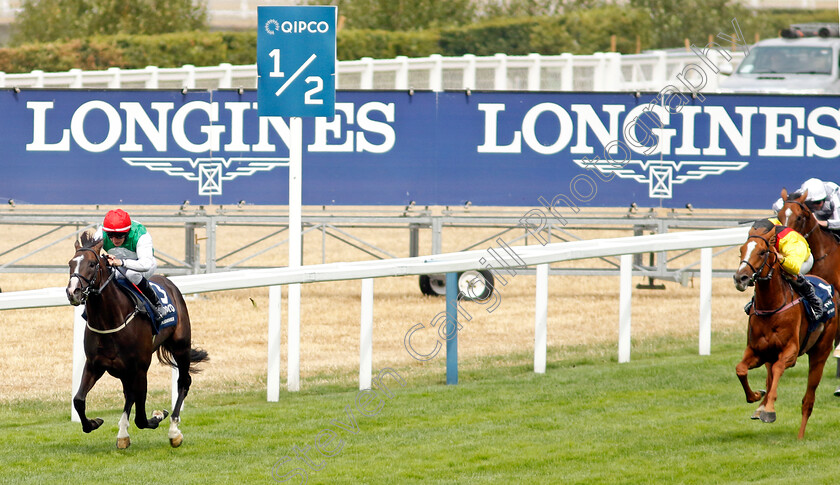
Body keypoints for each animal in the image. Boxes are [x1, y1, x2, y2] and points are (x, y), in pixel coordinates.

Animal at [66, 229, 208, 448]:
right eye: (70, 264)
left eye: (91, 264)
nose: (73, 292)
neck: (110, 320)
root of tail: (169, 282)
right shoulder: (95, 364)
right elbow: (79, 400)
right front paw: (93, 423)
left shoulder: (141, 368)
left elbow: (141, 418)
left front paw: (158, 416)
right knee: (129, 394)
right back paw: (123, 434)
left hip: (181, 347)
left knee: (183, 382)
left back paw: (174, 431)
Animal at [732, 222, 836, 438]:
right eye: (741, 250)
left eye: (762, 252)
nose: (740, 278)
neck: (771, 306)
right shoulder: (757, 351)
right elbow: (741, 369)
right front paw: (757, 397)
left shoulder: (791, 351)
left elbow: (779, 368)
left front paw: (769, 411)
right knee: (770, 376)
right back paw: (760, 407)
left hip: (820, 353)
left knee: (808, 400)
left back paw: (800, 435)